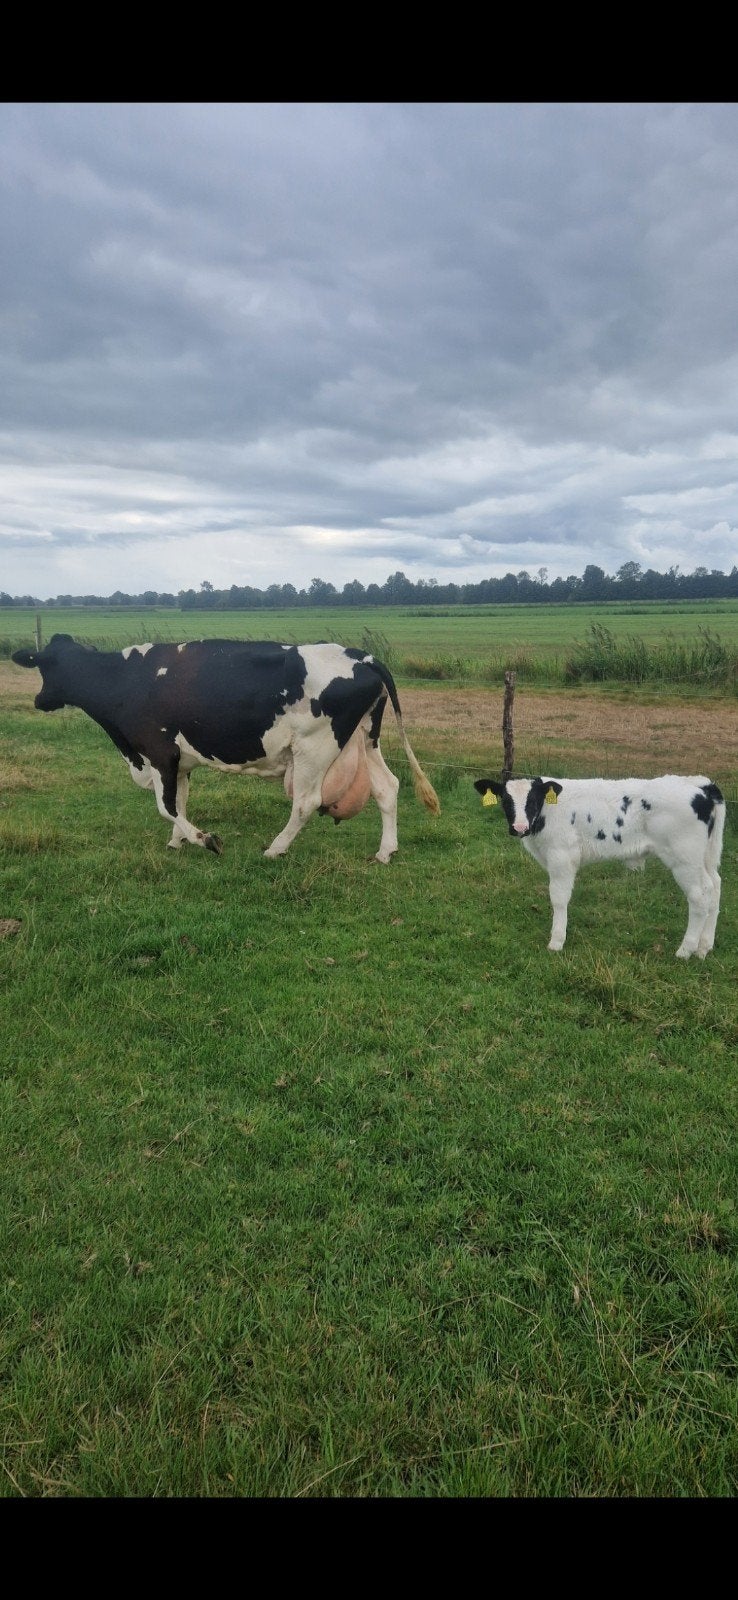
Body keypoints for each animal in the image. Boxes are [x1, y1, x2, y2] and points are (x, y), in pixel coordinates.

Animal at [12, 635, 440, 861]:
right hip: (365, 737)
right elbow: (180, 802)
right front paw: (178, 841)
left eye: (45, 665)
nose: (39, 700)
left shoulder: (159, 752)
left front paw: (205, 839)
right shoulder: (179, 762)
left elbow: (166, 806)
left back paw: (275, 849)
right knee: (387, 787)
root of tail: (363, 656)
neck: (126, 679)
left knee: (306, 802)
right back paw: (385, 851)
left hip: (315, 746)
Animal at [473, 773, 725, 958]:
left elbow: (559, 898)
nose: (519, 828)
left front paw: (557, 940)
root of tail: (700, 784)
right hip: (706, 857)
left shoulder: (562, 857)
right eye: (506, 801)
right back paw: (704, 947)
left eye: (533, 800)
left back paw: (686, 950)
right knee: (714, 887)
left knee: (699, 897)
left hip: (685, 859)